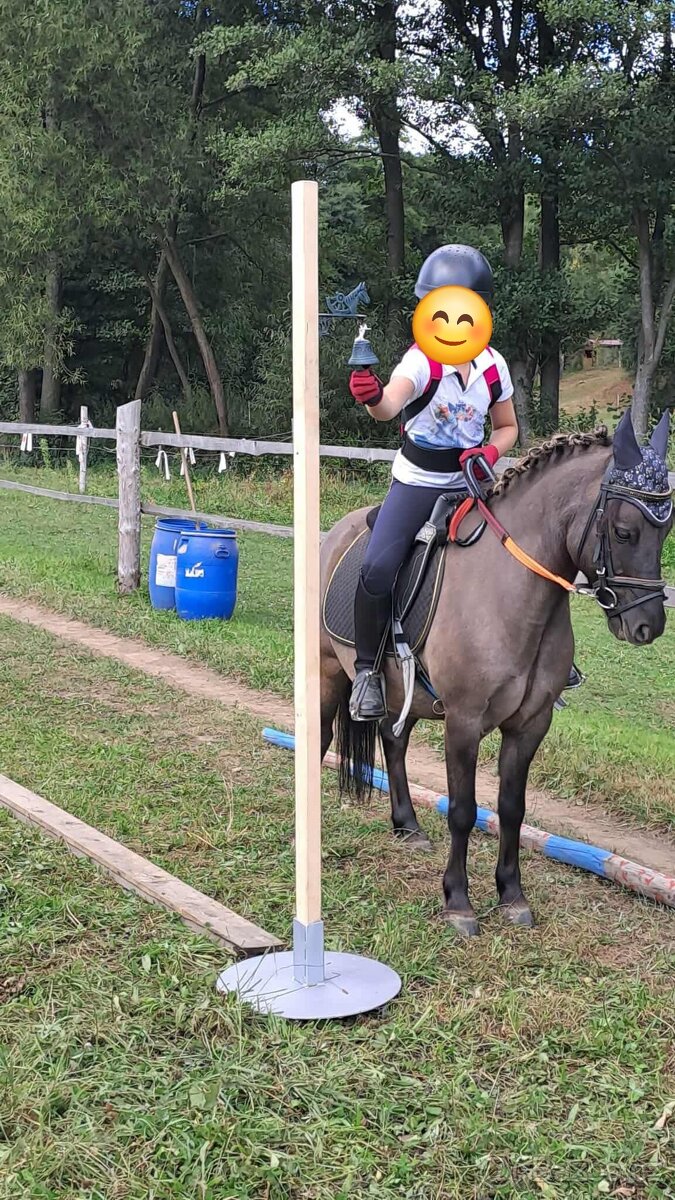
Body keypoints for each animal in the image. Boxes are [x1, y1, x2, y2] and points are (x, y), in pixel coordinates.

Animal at [319, 412, 673, 935]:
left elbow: (511, 808)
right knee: (322, 736)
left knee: (393, 740)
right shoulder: (463, 722)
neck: (512, 596)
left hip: (404, 690)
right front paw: (458, 902)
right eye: (625, 531)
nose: (647, 626)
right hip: (328, 671)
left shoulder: (530, 725)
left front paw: (512, 895)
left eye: (665, 534)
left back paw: (408, 826)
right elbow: (463, 811)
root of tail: (338, 531)